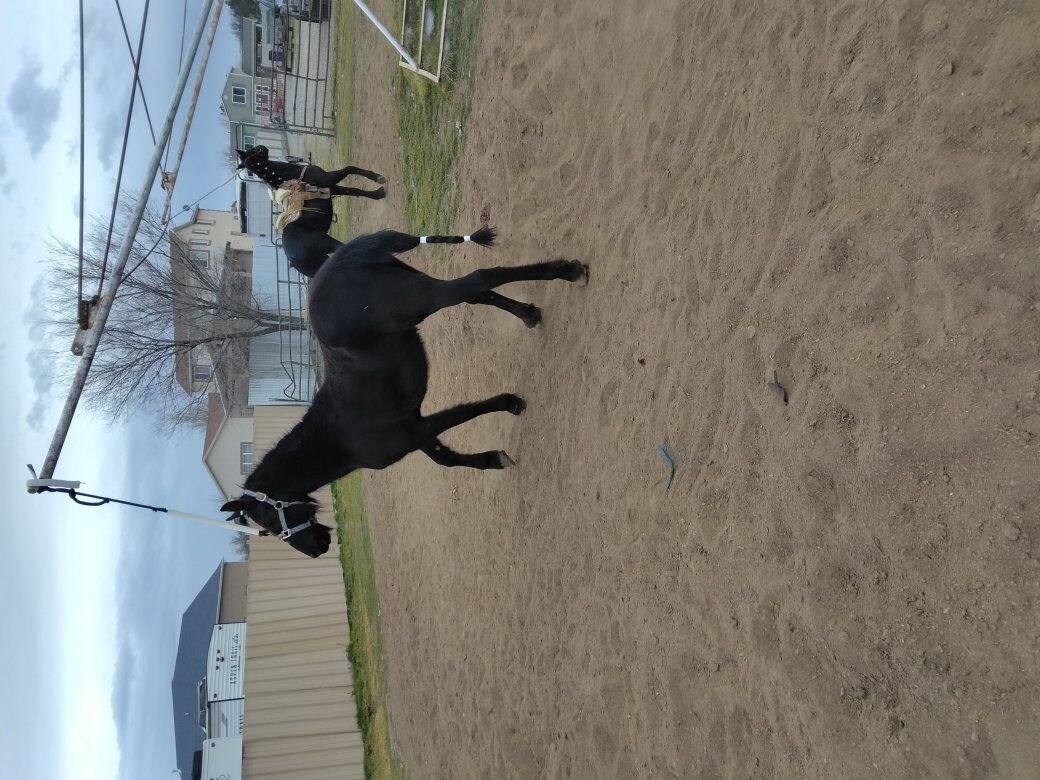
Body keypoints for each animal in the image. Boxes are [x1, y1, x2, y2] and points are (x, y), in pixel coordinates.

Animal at [220, 226, 589, 557]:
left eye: (269, 520)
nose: (316, 549)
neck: (338, 436)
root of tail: (343, 256)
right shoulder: (414, 430)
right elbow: (445, 458)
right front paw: (493, 458)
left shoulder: (412, 430)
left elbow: (463, 415)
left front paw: (511, 403)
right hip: (419, 284)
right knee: (477, 292)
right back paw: (529, 313)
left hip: (423, 297)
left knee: (481, 279)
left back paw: (570, 272)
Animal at [236, 146, 386, 277]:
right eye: (254, 149)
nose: (264, 147)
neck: (291, 174)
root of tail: (293, 258)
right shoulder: (329, 179)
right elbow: (349, 169)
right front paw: (378, 178)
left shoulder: (331, 188)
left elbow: (354, 191)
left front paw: (378, 193)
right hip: (327, 242)